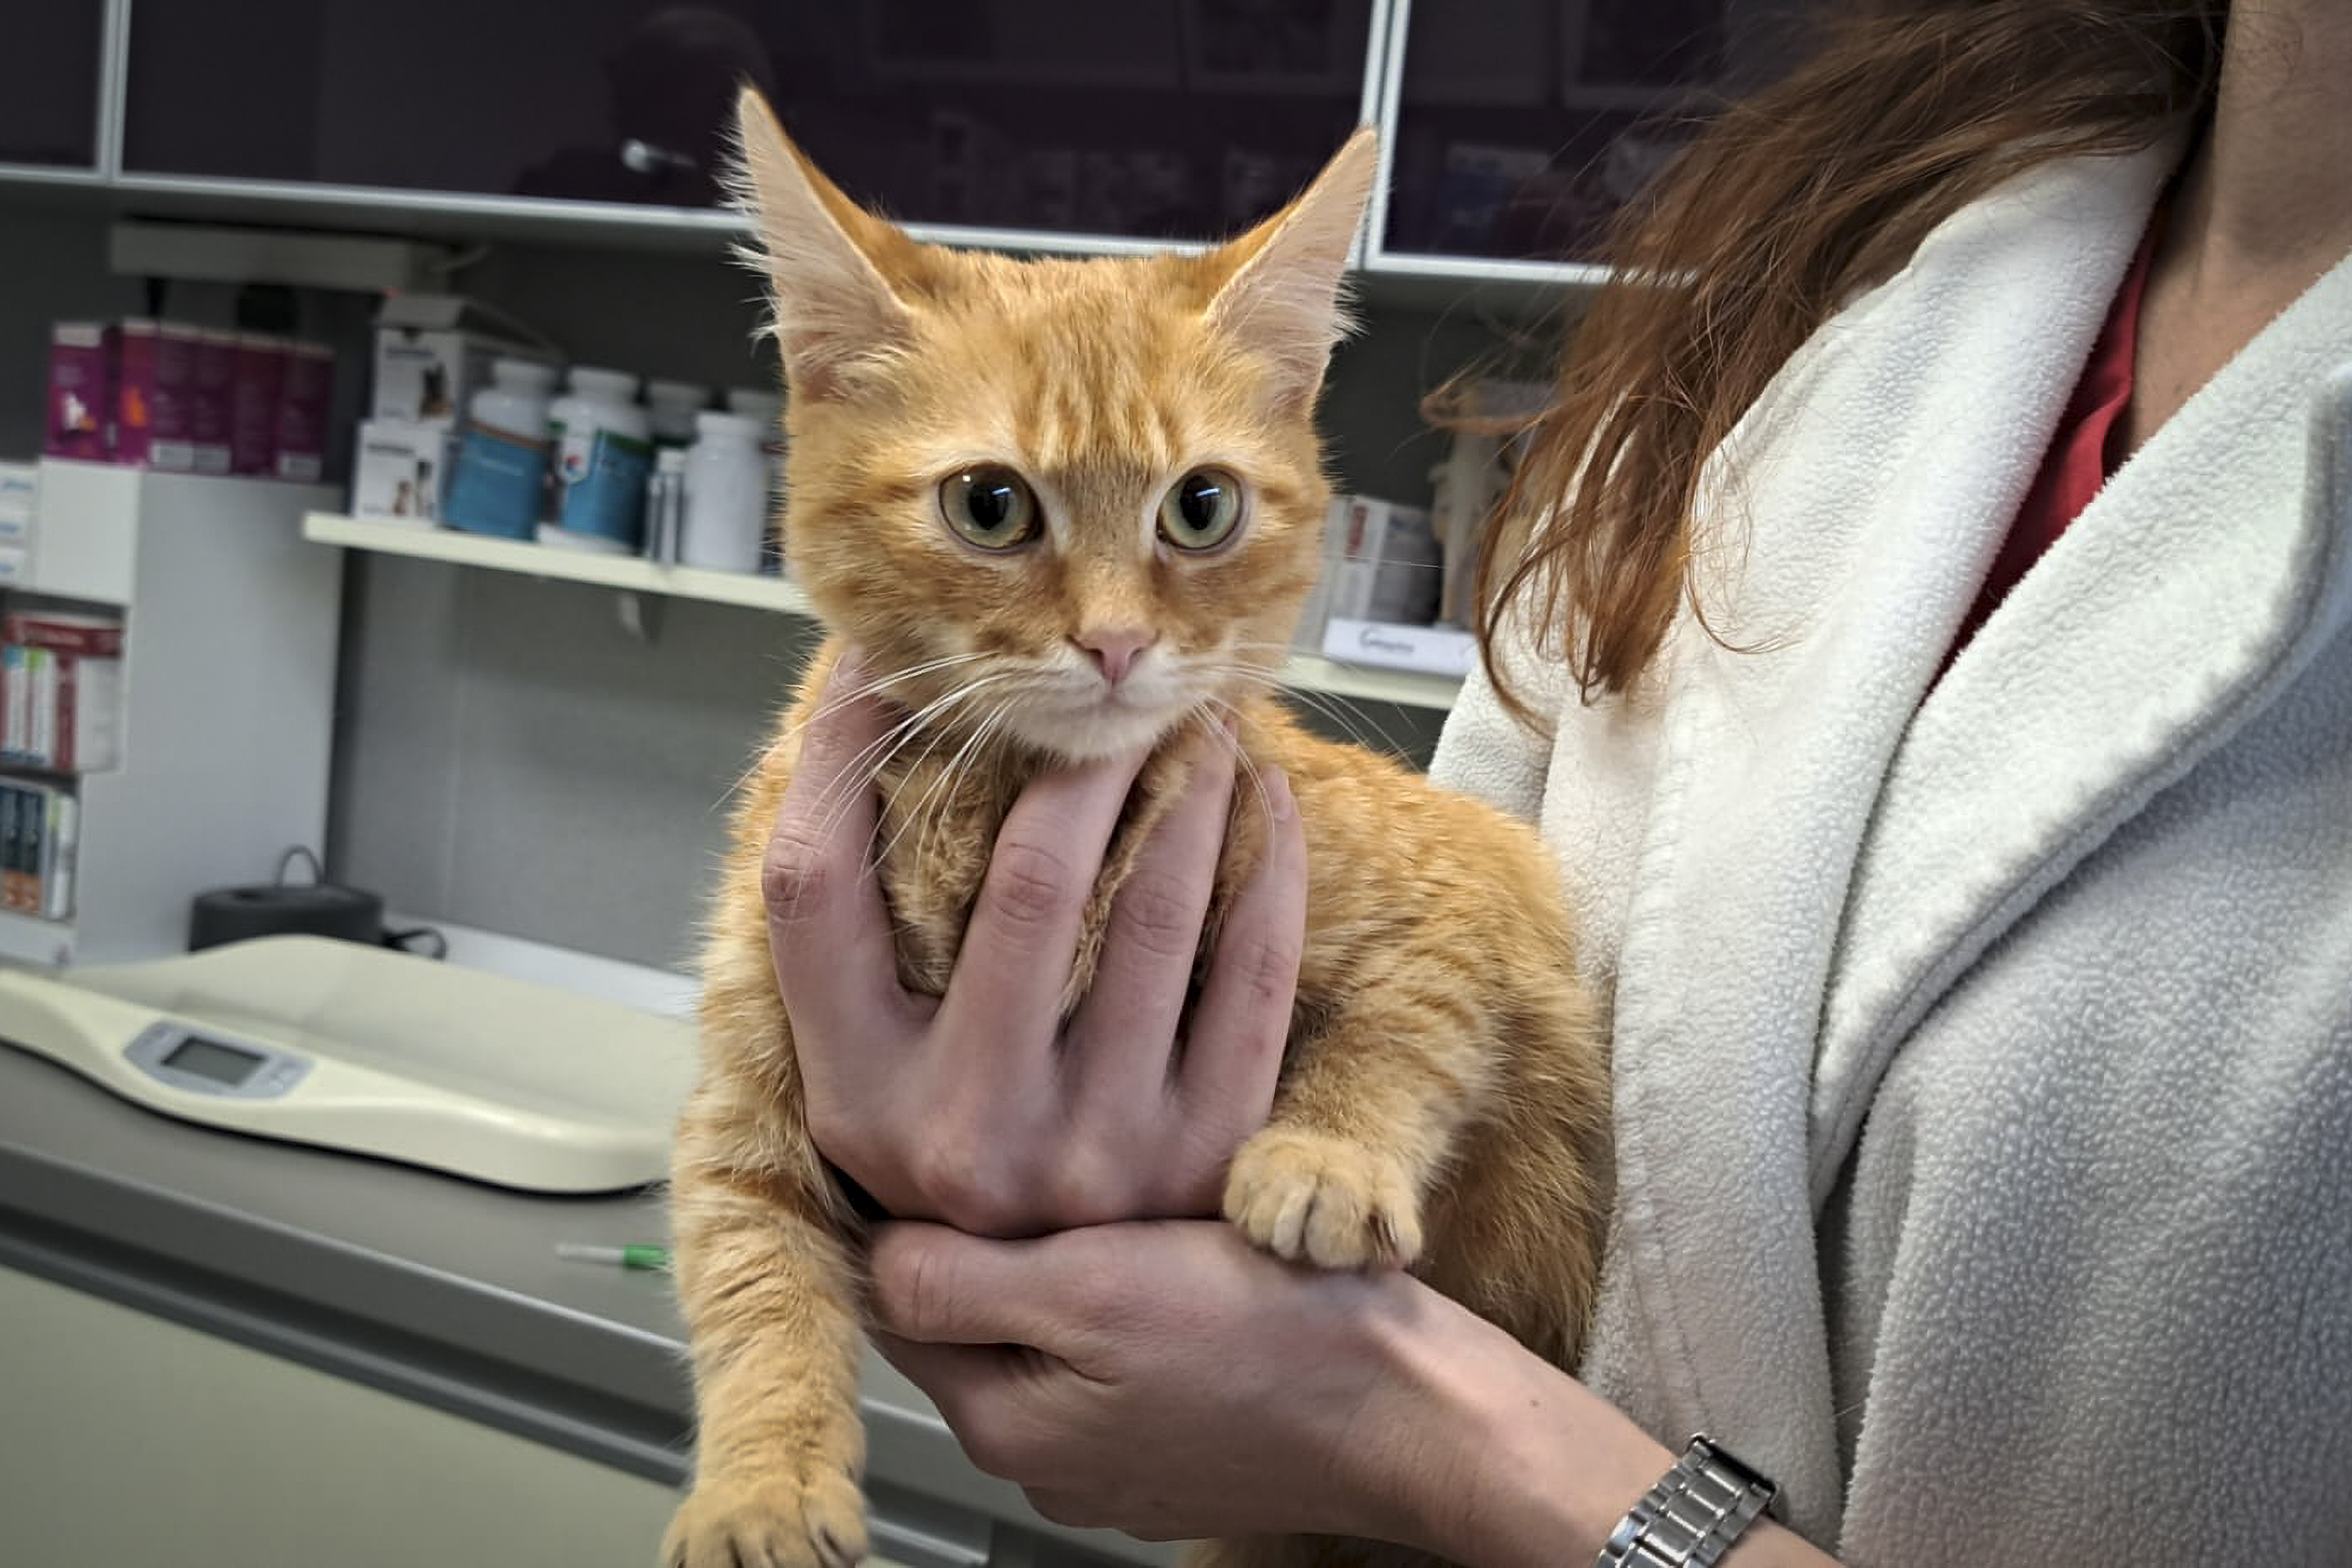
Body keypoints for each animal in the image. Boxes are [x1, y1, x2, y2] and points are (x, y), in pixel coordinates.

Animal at [668, 92, 1618, 1568]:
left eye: (1201, 505)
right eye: (988, 504)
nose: (1114, 642)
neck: (998, 802)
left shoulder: (1474, 888)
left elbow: (1410, 1023)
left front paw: (1326, 1154)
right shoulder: (746, 1102)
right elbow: (752, 1279)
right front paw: (760, 1487)